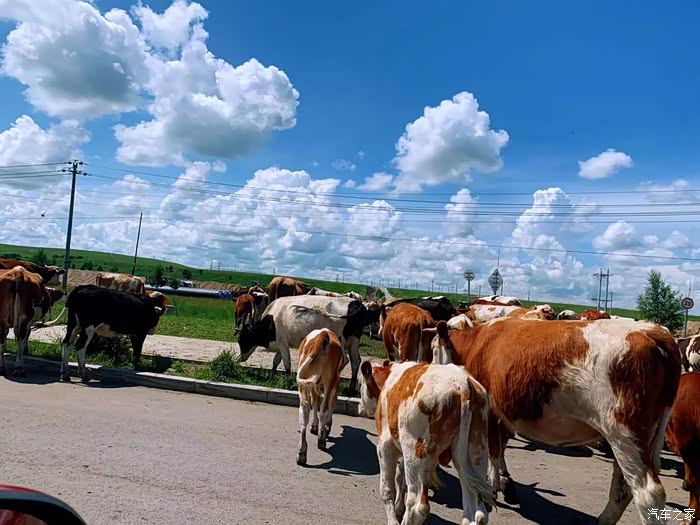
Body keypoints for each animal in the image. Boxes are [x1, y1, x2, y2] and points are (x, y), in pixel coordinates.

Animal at [238, 295, 379, 392]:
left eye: (241, 341)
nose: (239, 358)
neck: (271, 319)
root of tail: (357, 303)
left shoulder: (282, 342)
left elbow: (286, 364)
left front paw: (288, 384)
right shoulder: (282, 343)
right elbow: (276, 361)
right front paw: (271, 377)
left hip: (340, 341)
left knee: (345, 360)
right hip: (353, 341)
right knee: (356, 361)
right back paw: (350, 389)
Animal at [296, 329, 347, 466]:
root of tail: (323, 334)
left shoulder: (316, 382)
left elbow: (315, 401)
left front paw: (315, 426)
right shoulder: (336, 382)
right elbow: (331, 403)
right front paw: (327, 426)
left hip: (304, 380)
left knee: (304, 409)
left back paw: (301, 453)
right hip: (331, 380)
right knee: (324, 408)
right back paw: (321, 439)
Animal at [359, 361, 494, 525]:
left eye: (360, 383)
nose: (360, 407)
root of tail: (462, 384)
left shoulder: (385, 447)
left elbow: (387, 488)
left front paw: (394, 517)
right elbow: (400, 477)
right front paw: (398, 508)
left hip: (415, 453)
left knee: (418, 506)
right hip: (474, 455)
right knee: (477, 514)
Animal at [425, 317, 680, 524]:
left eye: (433, 348)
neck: (477, 343)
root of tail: (652, 331)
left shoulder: (490, 412)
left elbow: (494, 451)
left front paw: (495, 485)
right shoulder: (503, 415)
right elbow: (501, 448)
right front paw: (505, 483)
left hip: (624, 433)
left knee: (648, 494)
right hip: (635, 440)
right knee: (622, 487)